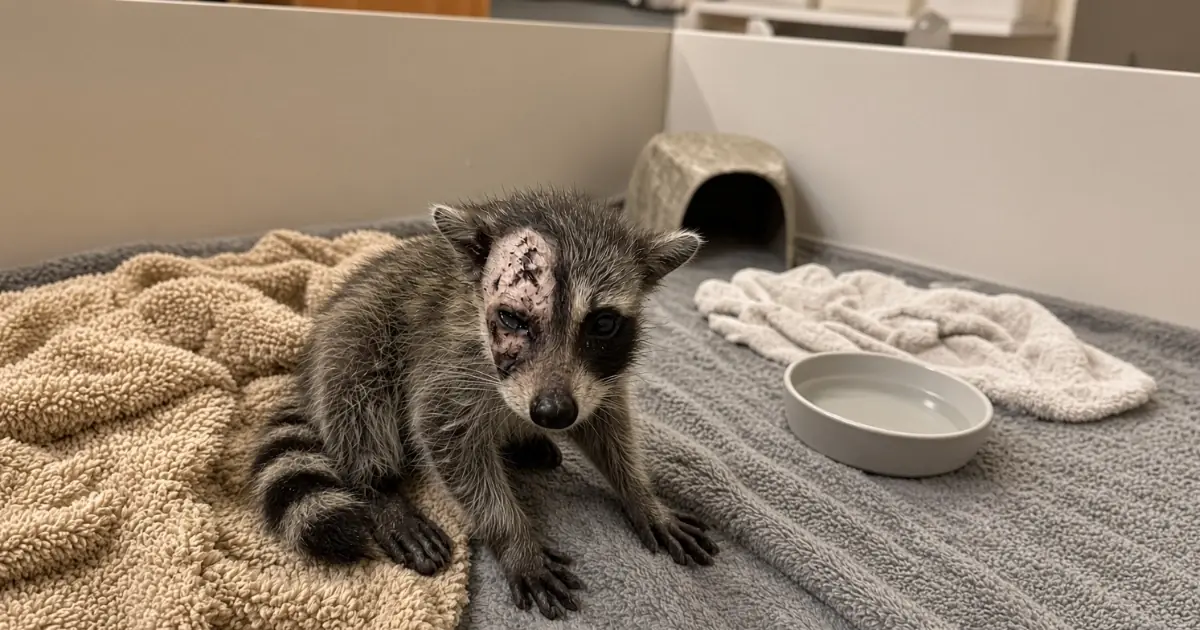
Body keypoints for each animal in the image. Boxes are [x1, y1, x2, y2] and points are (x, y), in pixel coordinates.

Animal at [248, 188, 719, 619]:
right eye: (513, 319)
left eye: (603, 323)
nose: (552, 414)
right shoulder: (448, 361)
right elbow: (446, 437)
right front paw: (513, 539)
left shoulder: (598, 379)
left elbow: (608, 425)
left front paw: (641, 495)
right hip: (356, 335)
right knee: (357, 394)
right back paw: (377, 486)